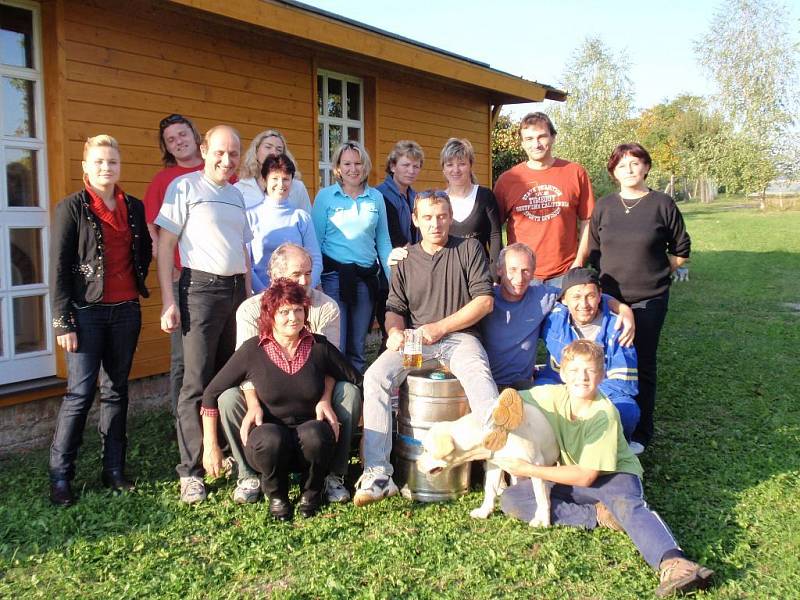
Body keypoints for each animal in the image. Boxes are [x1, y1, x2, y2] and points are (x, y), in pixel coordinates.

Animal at [416, 400, 560, 528]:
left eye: (426, 450)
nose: (417, 464)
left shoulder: (537, 464)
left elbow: (541, 497)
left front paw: (542, 521)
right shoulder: (495, 465)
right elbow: (490, 489)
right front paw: (484, 512)